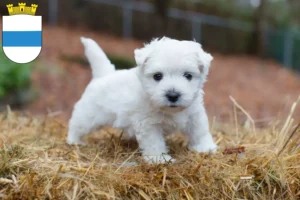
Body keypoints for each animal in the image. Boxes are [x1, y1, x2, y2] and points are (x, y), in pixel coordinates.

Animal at [67, 36, 218, 163]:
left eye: (188, 75)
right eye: (157, 76)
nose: (173, 95)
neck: (169, 111)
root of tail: (103, 75)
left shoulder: (195, 114)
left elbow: (200, 131)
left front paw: (205, 147)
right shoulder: (148, 124)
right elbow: (154, 142)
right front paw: (159, 159)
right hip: (88, 115)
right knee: (76, 125)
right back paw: (74, 141)